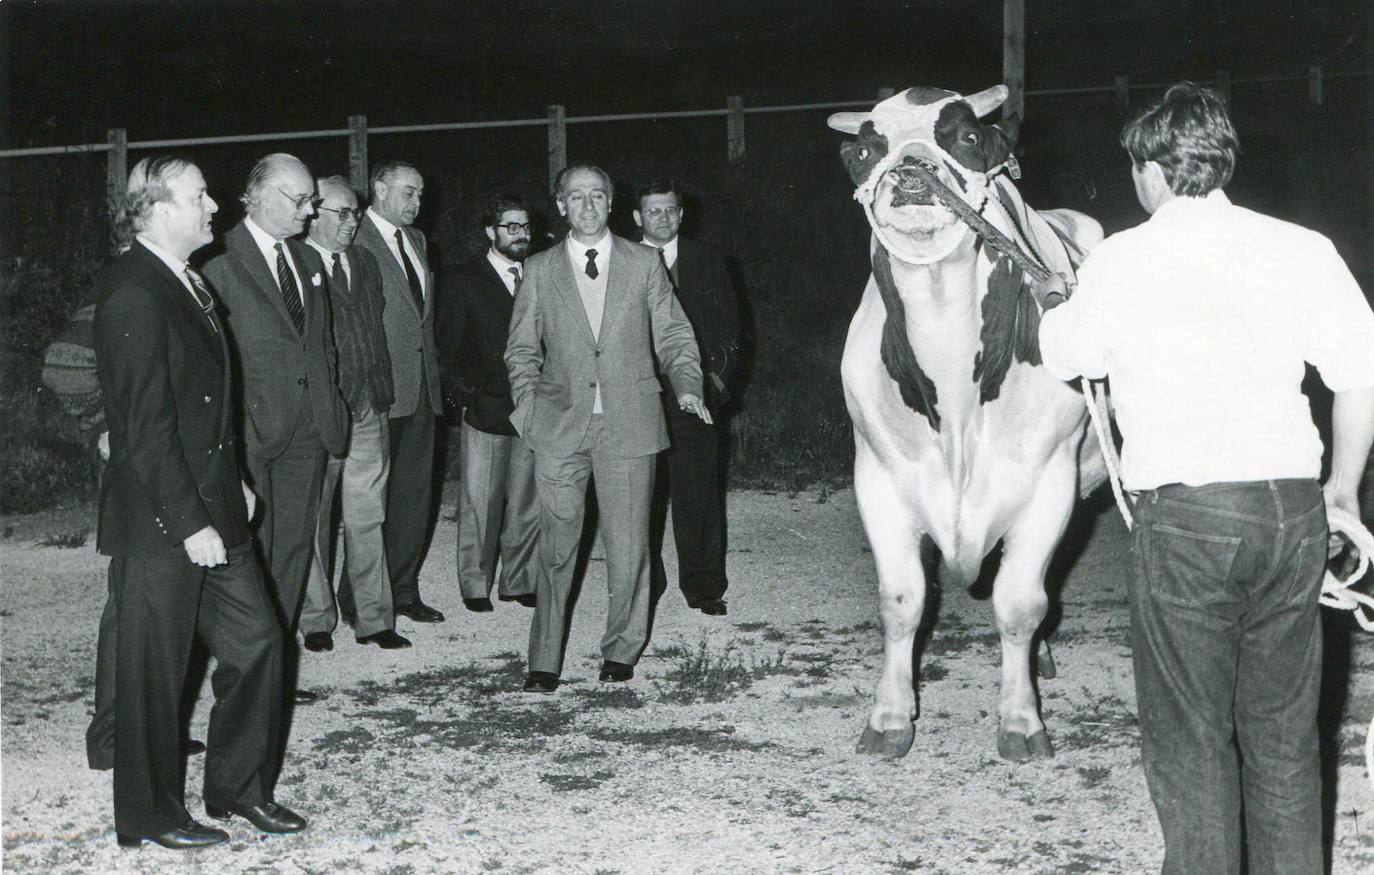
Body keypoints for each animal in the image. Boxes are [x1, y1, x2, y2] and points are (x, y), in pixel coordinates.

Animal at [824, 85, 1104, 763]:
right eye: (869, 149)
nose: (910, 171)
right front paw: (889, 719)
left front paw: (1022, 721)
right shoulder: (878, 477)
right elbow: (901, 601)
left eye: (967, 137)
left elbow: (1021, 603)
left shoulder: (1048, 482)